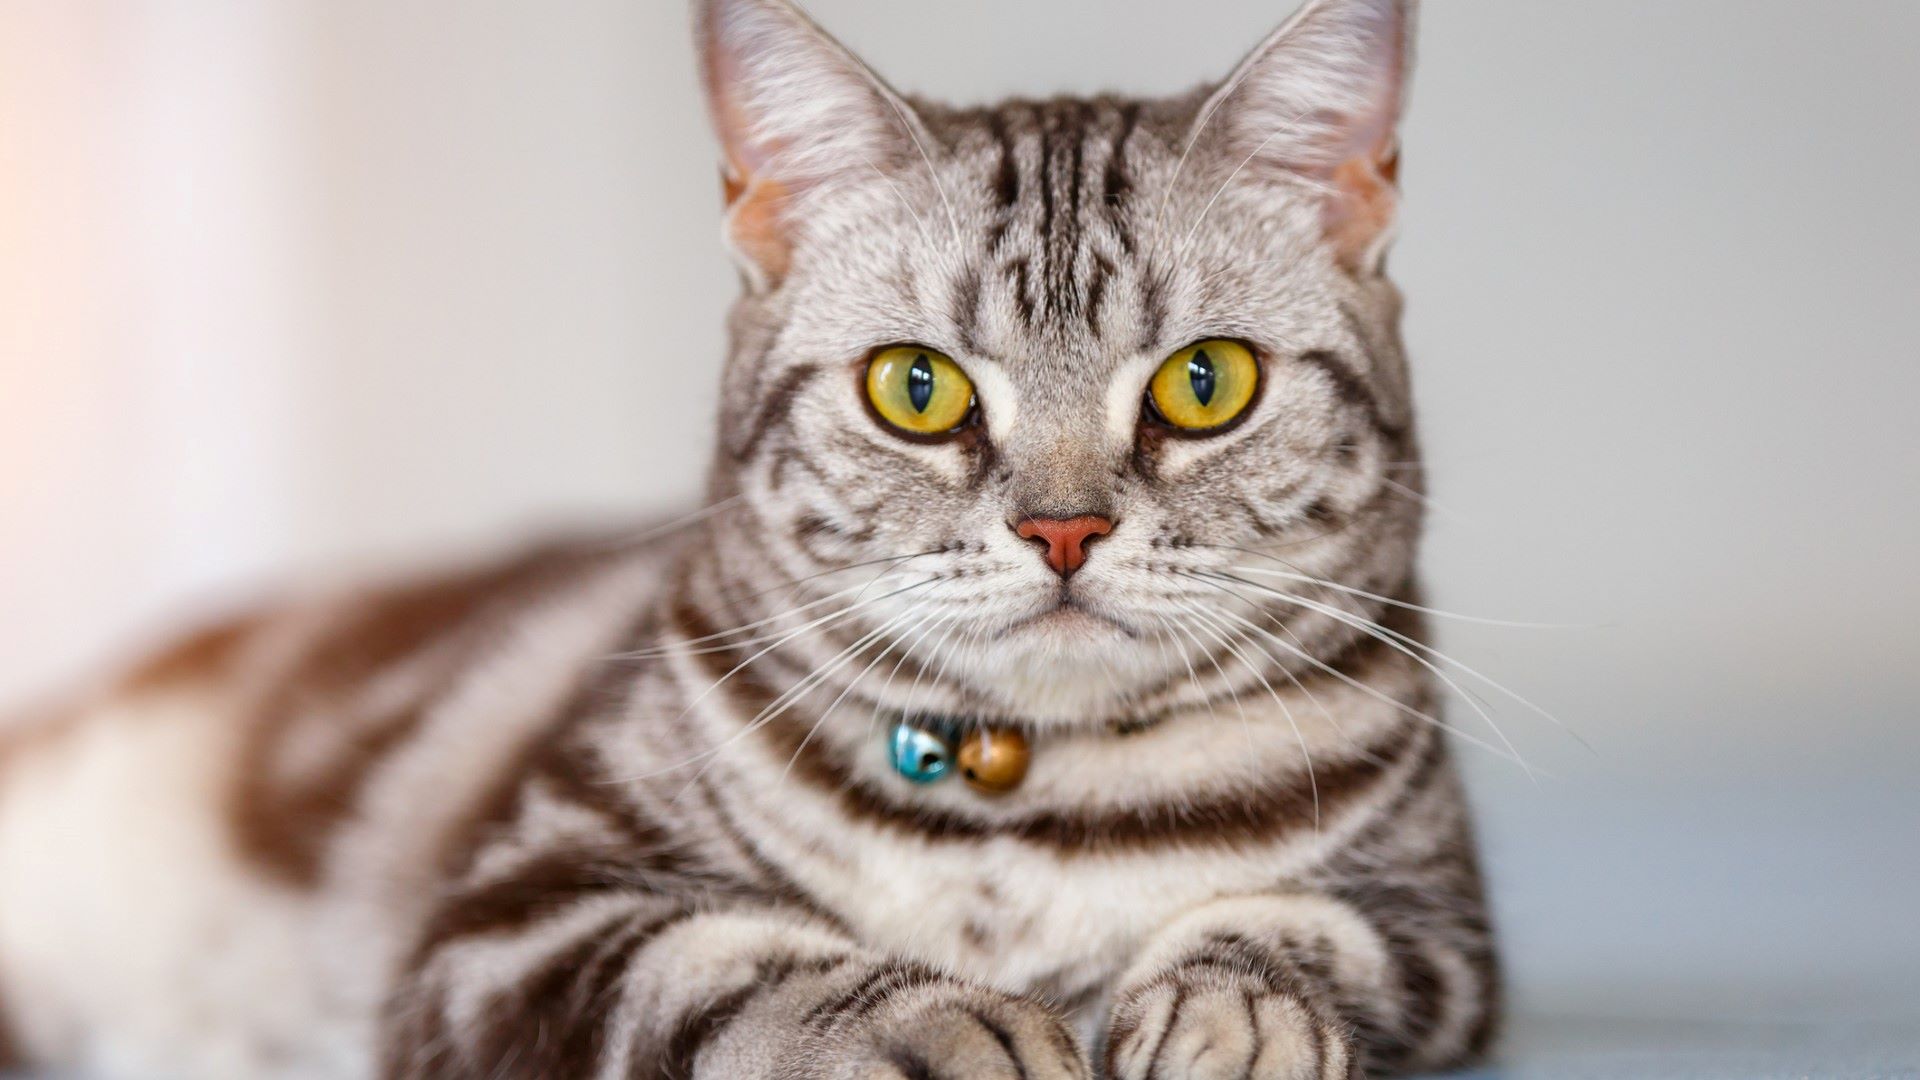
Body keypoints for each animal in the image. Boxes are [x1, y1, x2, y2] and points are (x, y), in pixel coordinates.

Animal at [0, 0, 1497, 1068]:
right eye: (917, 387)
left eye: (1205, 383)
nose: (1063, 529)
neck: (1033, 803)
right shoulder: (510, 917)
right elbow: (744, 964)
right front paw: (942, 1017)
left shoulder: (1449, 931)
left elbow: (1309, 931)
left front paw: (1231, 1013)